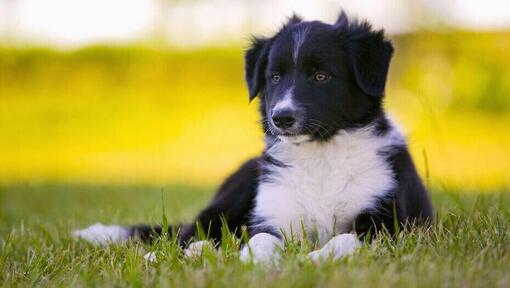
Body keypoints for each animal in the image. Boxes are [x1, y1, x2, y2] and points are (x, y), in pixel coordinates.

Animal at [73, 11, 432, 264]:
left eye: (321, 76)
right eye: (274, 77)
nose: (281, 118)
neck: (320, 154)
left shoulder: (387, 223)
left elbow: (344, 240)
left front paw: (314, 260)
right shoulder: (273, 215)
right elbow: (260, 239)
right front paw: (253, 261)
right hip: (237, 188)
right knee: (190, 234)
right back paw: (170, 256)